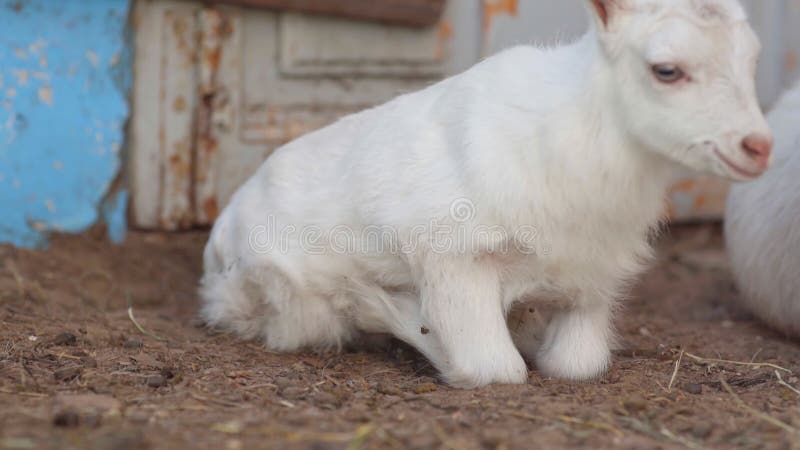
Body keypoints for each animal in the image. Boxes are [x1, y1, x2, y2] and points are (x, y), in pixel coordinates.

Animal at [203, 0, 772, 386]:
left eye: (752, 62)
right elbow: (493, 369)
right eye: (666, 70)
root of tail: (220, 235)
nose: (758, 147)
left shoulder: (594, 278)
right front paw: (399, 314)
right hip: (285, 299)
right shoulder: (454, 262)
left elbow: (578, 363)